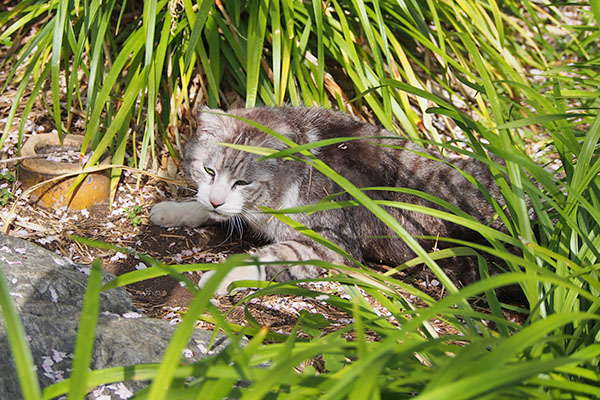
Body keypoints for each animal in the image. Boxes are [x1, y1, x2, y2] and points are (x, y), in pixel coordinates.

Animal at [150, 106, 506, 294]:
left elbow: (269, 256)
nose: (216, 200)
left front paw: (218, 277)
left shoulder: (328, 246)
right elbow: (203, 207)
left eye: (243, 182)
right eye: (208, 170)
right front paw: (173, 210)